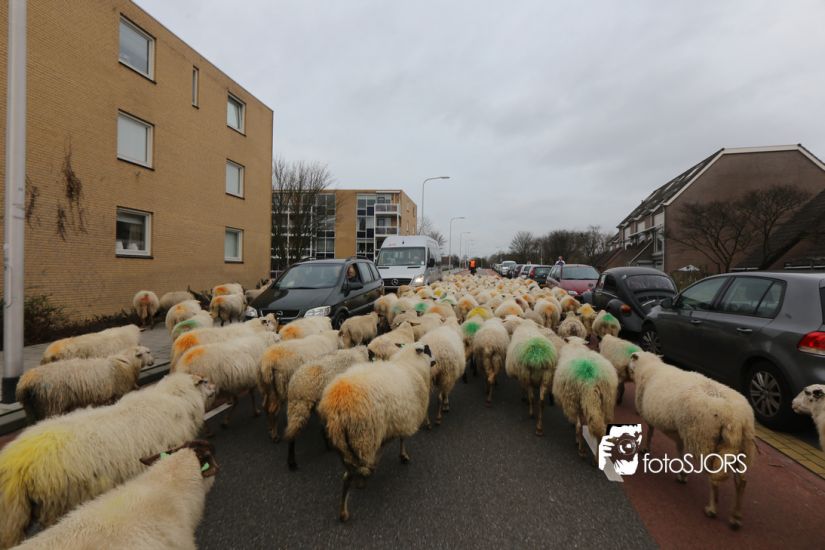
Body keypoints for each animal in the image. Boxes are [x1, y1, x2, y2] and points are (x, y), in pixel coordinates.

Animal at [16, 346, 154, 423]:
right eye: (147, 352)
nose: (153, 362)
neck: (127, 362)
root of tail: (25, 383)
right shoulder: (119, 392)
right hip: (52, 404)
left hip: (31, 408)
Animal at [318, 342, 436, 522]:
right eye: (428, 350)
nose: (435, 361)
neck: (410, 365)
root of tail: (337, 406)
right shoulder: (402, 418)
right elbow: (401, 439)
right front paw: (402, 456)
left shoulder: (397, 419)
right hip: (363, 436)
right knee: (348, 477)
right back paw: (349, 503)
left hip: (342, 445)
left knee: (349, 470)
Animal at [628, 351, 757, 529]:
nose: (627, 369)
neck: (648, 367)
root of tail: (737, 419)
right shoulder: (681, 431)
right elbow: (680, 451)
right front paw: (682, 473)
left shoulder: (653, 418)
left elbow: (650, 432)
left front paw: (645, 449)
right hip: (742, 447)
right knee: (741, 481)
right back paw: (736, 516)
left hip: (705, 440)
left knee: (714, 480)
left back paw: (711, 509)